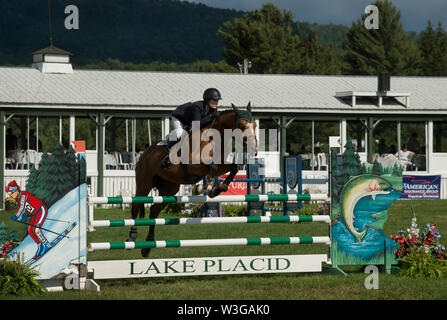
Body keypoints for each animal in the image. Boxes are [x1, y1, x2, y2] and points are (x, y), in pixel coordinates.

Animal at [128, 102, 258, 258]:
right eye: (242, 125)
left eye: (255, 125)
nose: (254, 149)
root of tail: (145, 152)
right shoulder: (193, 166)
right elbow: (211, 167)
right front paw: (204, 187)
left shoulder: (221, 164)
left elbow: (234, 167)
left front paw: (217, 189)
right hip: (144, 183)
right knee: (136, 206)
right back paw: (132, 237)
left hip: (169, 189)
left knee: (153, 210)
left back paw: (147, 247)